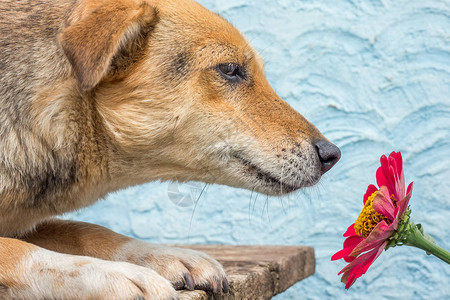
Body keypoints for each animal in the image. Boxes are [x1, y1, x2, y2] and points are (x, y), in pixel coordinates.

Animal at [0, 0, 340, 298]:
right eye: (230, 69)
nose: (332, 155)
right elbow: (19, 249)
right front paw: (111, 275)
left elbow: (83, 229)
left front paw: (164, 255)